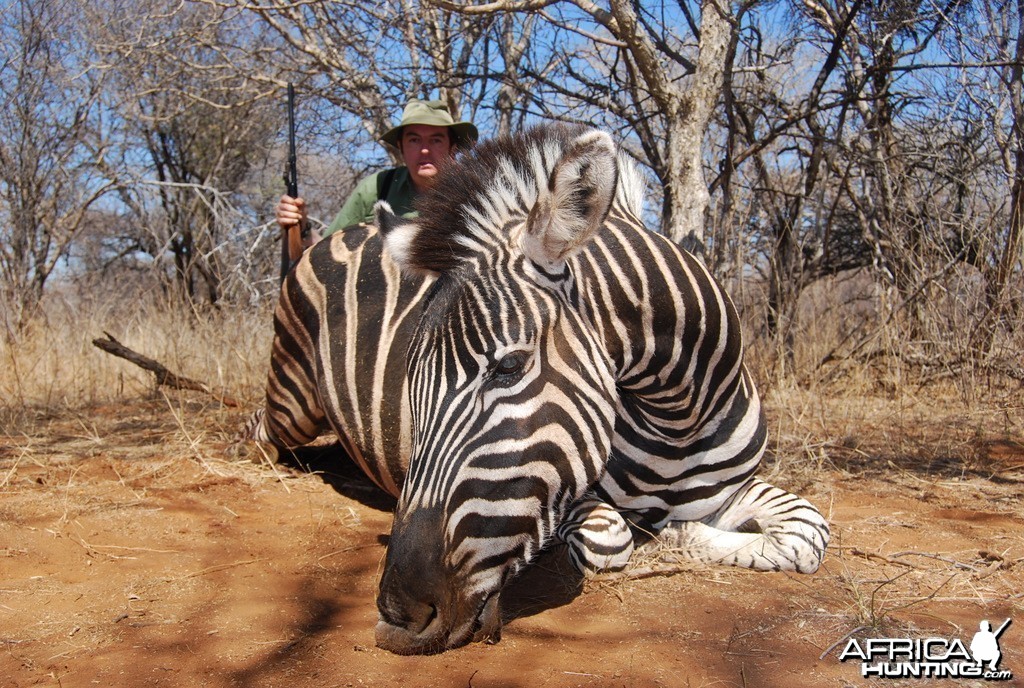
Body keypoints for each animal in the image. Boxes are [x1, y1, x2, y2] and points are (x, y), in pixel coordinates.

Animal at [247, 122, 831, 655]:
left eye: (508, 367)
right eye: (409, 378)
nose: (398, 616)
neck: (678, 416)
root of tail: (342, 234)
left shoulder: (731, 490)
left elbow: (808, 534)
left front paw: (680, 533)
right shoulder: (575, 495)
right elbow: (611, 539)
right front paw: (659, 536)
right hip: (292, 406)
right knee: (261, 433)